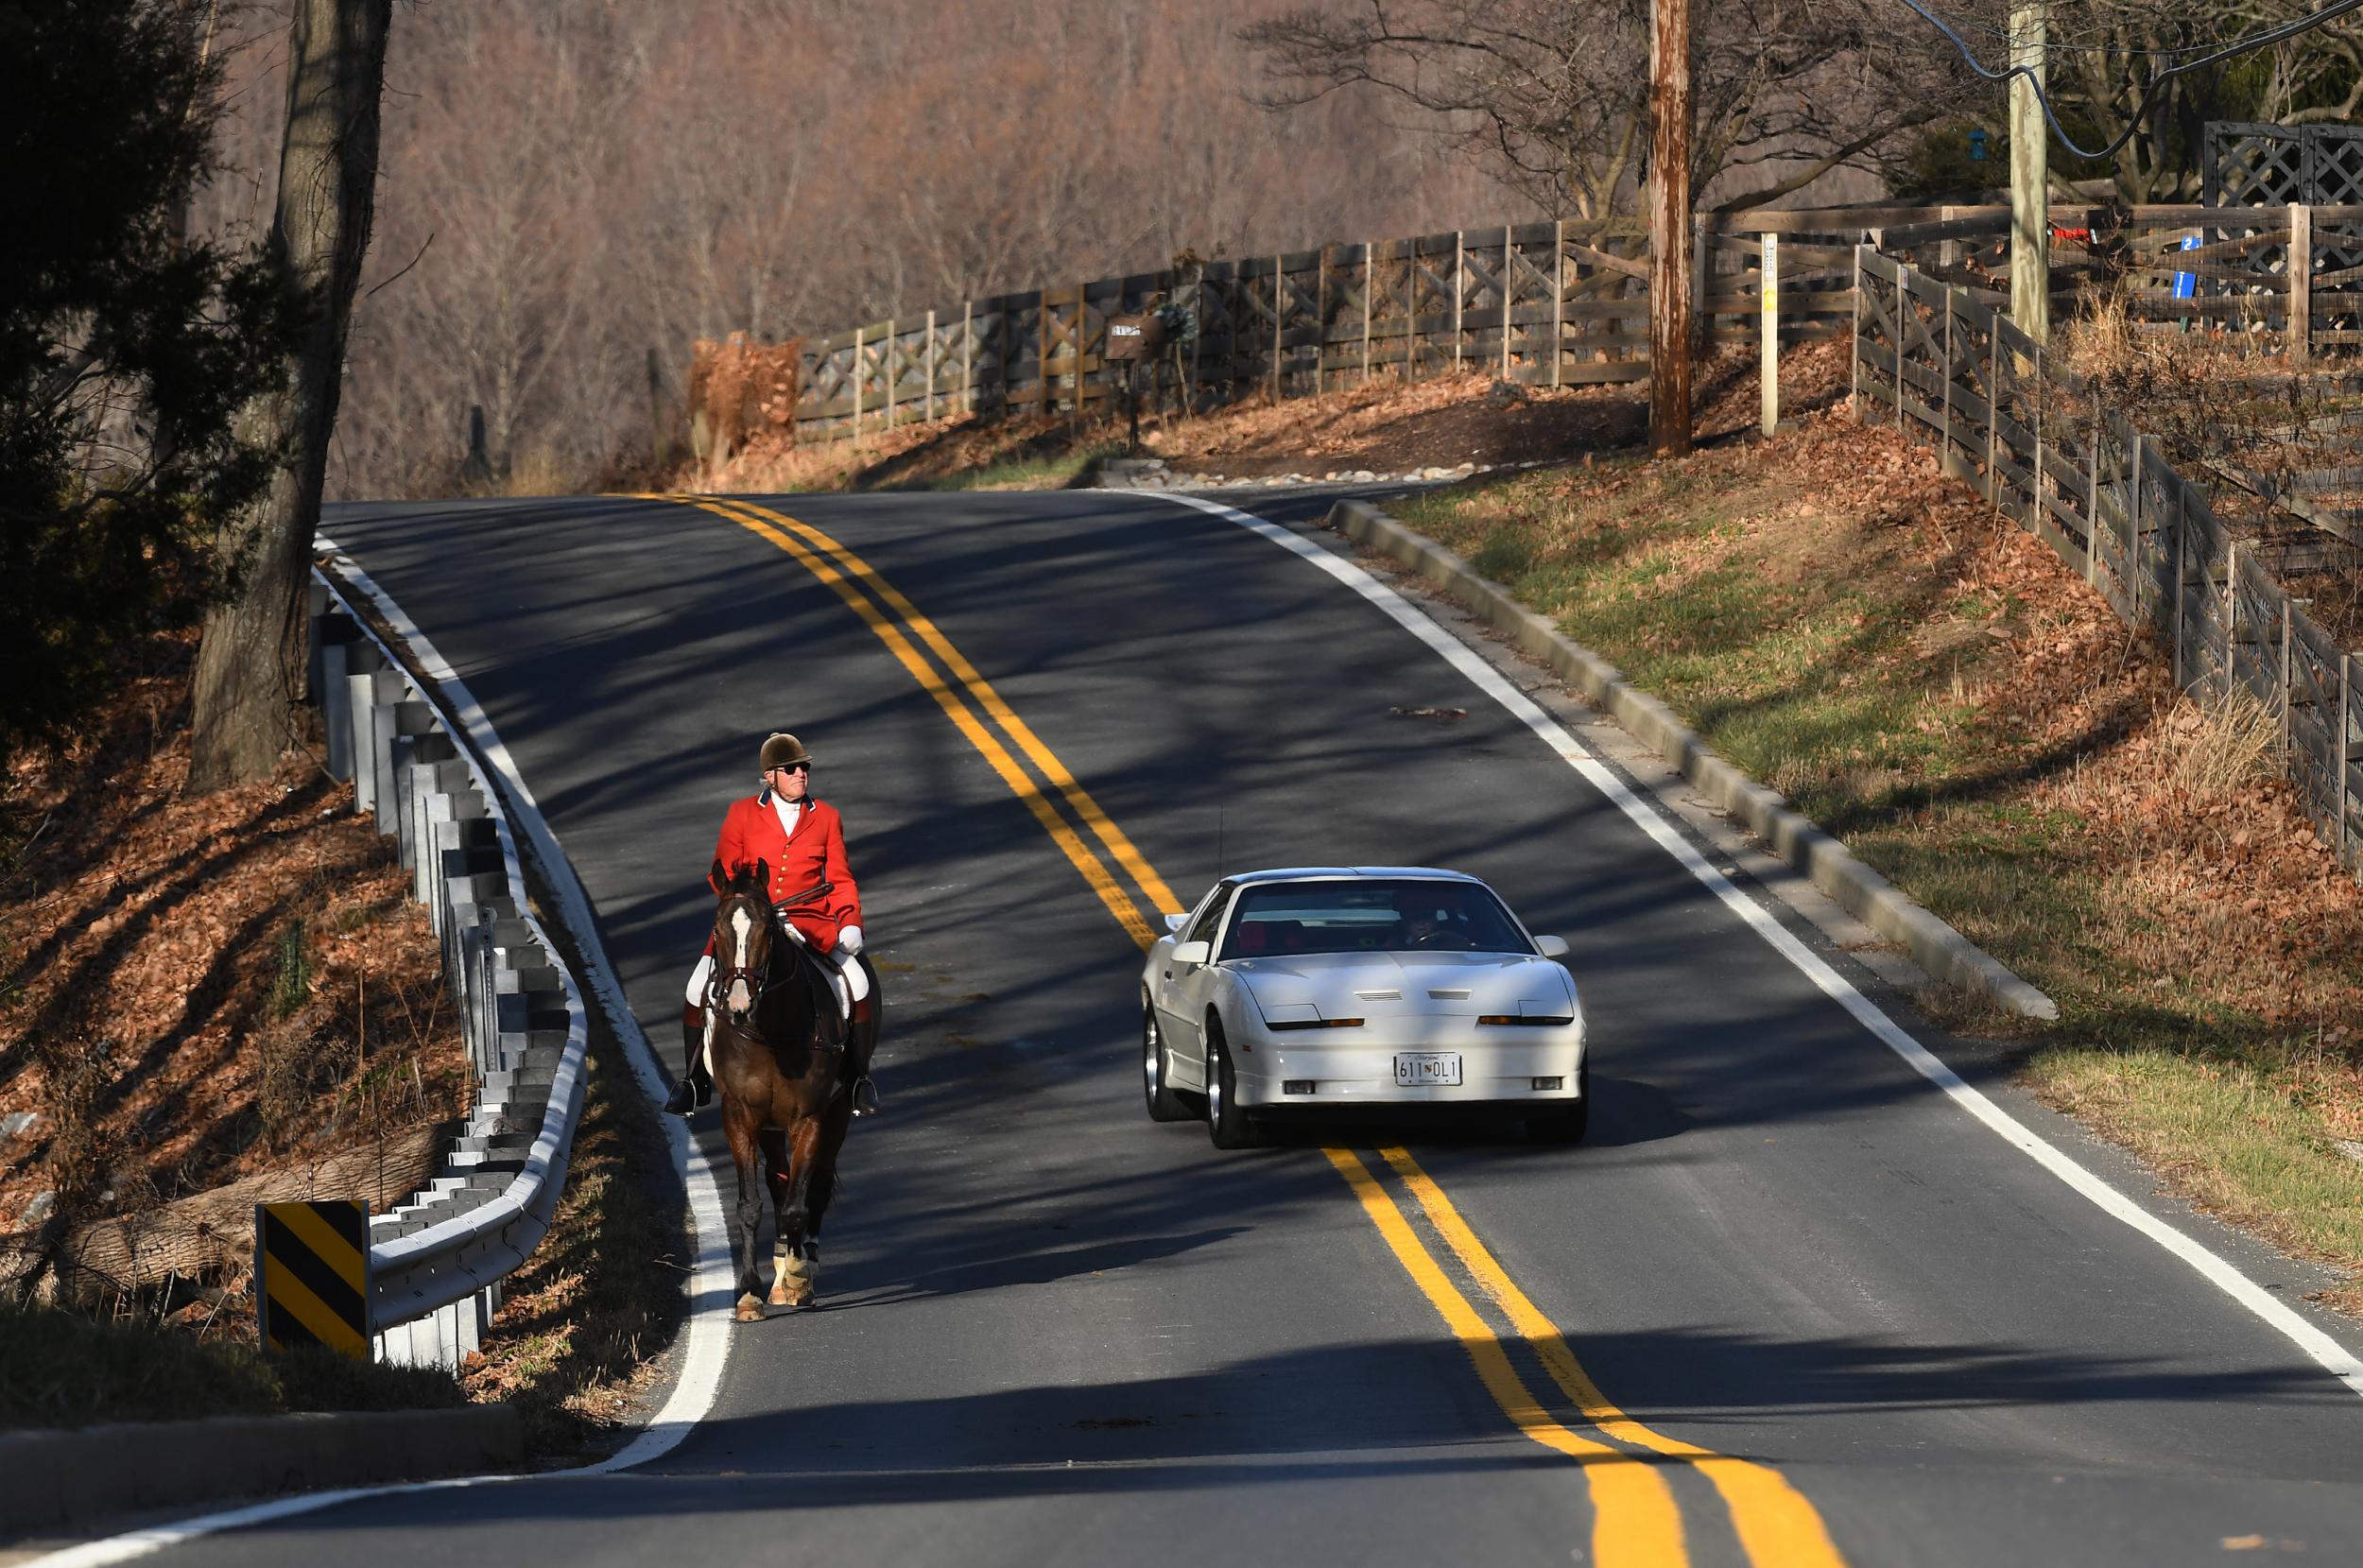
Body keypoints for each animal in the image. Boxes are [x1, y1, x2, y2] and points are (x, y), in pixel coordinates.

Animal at [709, 859, 888, 1322]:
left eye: (766, 929)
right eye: (718, 928)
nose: (739, 1006)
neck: (771, 1032)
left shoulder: (810, 1118)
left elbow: (797, 1206)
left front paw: (796, 1278)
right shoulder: (739, 1116)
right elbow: (751, 1206)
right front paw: (749, 1294)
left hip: (837, 1112)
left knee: (815, 1184)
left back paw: (801, 1264)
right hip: (770, 1128)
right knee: (779, 1181)